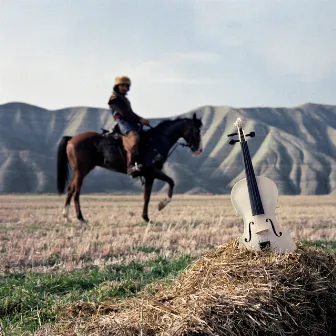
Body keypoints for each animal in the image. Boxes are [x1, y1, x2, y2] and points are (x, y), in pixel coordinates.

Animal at [56, 113, 202, 223]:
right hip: (81, 171)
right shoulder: (152, 172)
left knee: (70, 189)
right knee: (76, 191)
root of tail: (72, 139)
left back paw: (66, 216)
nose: (199, 150)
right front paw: (161, 205)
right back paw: (80, 217)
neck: (155, 141)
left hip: (80, 171)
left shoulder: (149, 175)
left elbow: (147, 196)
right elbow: (171, 182)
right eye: (196, 130)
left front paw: (146, 217)